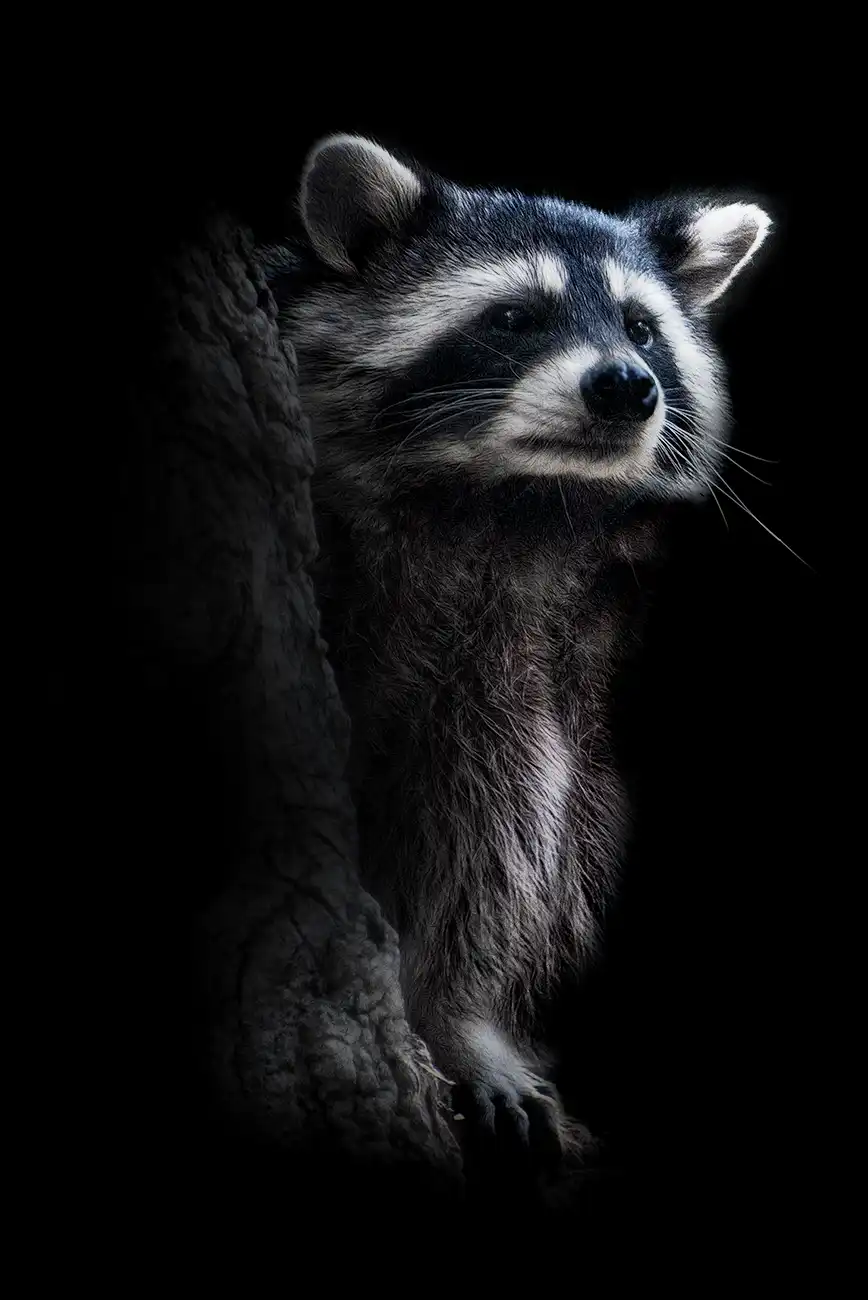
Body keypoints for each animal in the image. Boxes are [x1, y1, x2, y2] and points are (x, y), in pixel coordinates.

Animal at [262, 135, 771, 1166]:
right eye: (512, 317)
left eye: (642, 329)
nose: (625, 384)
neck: (502, 502)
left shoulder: (511, 652)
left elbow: (486, 825)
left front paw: (453, 1015)